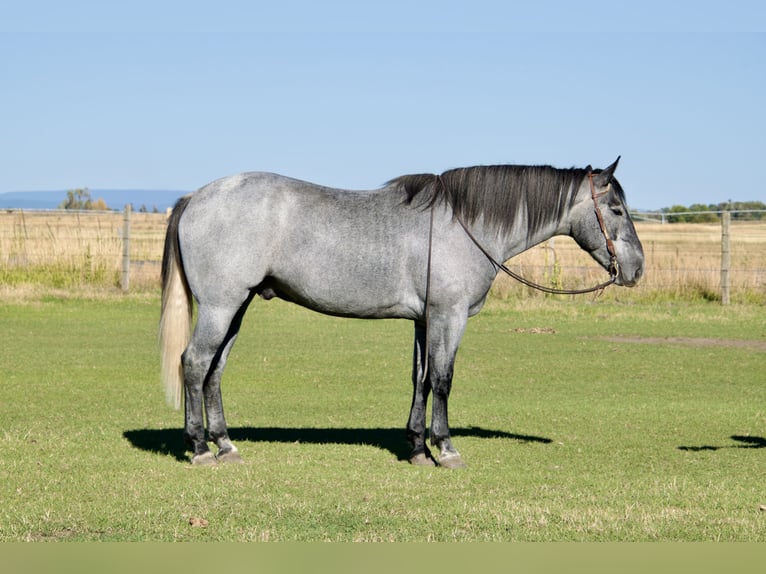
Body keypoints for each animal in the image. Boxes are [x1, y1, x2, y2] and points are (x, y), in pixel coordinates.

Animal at [159, 157, 644, 467]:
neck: (463, 224)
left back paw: (225, 445)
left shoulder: (425, 320)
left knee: (214, 372)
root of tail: (195, 197)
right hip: (221, 307)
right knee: (195, 363)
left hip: (236, 308)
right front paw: (445, 449)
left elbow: (421, 380)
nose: (637, 269)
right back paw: (200, 449)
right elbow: (443, 380)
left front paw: (416, 448)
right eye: (616, 209)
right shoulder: (449, 316)